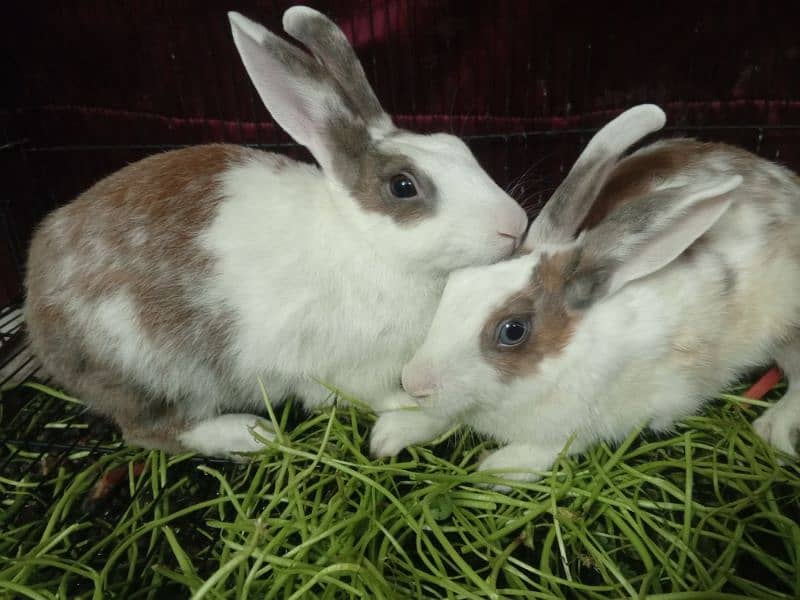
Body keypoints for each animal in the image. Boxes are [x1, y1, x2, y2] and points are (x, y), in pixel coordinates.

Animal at [21, 4, 528, 458]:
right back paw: (248, 434)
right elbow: (375, 395)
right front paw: (404, 408)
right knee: (151, 431)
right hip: (152, 372)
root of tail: (34, 306)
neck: (365, 244)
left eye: (457, 146)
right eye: (403, 186)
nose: (515, 225)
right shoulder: (350, 369)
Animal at [372, 103, 800, 482]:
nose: (414, 383)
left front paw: (496, 469)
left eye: (513, 331)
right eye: (454, 286)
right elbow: (441, 416)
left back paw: (773, 429)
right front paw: (389, 434)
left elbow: (552, 447)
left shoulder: (597, 422)